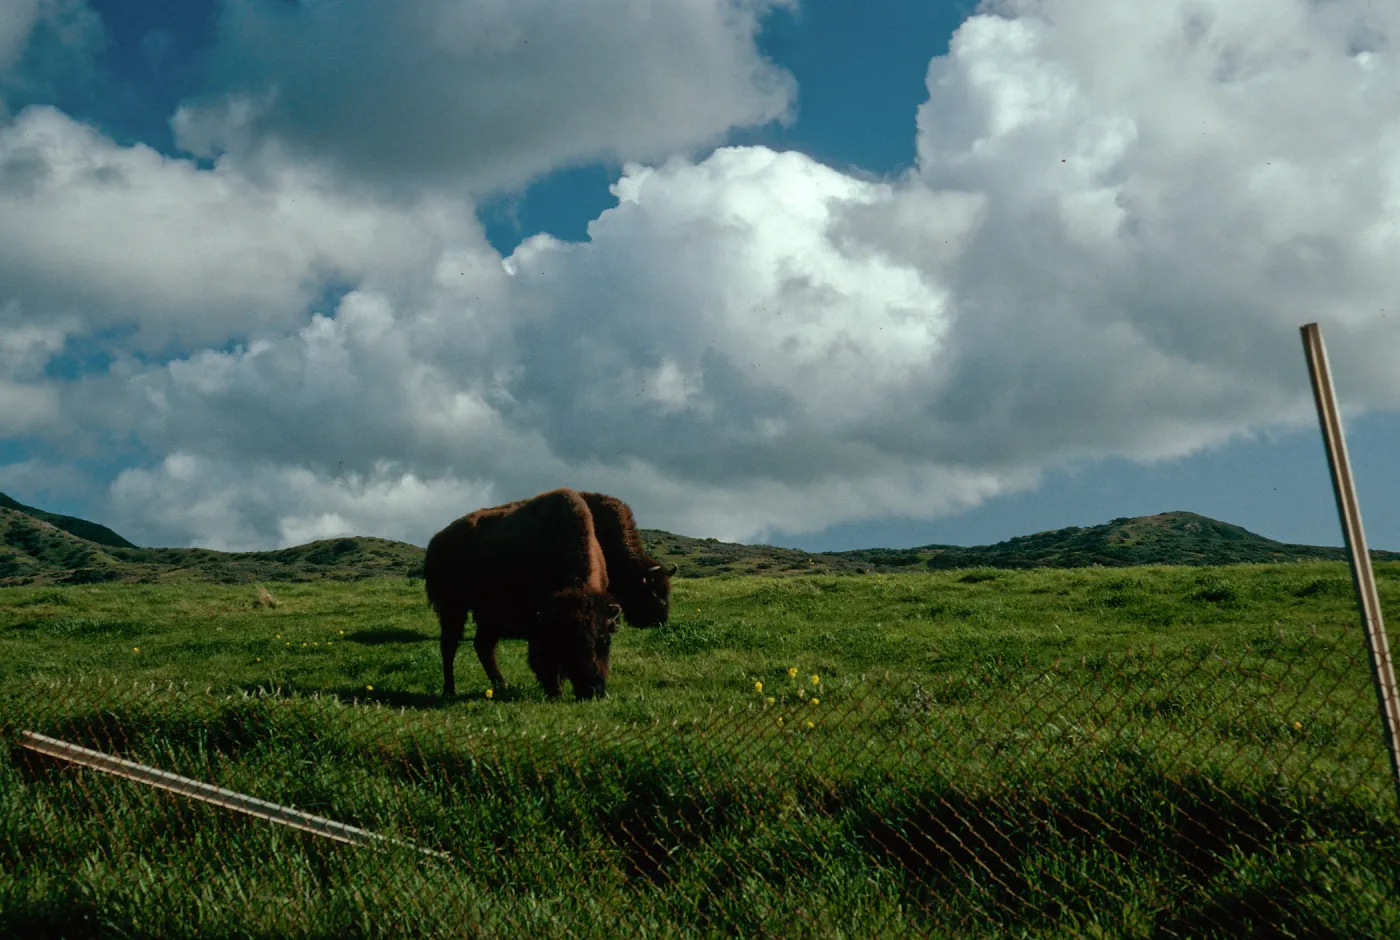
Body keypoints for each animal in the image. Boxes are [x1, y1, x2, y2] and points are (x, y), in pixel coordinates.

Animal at [425, 488, 621, 699]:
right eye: (570, 641)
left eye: (606, 640)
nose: (593, 690)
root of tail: (437, 540)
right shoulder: (540, 627)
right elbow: (546, 661)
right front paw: (555, 691)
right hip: (453, 609)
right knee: (449, 645)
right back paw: (449, 690)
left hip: (489, 617)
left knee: (482, 646)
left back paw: (503, 685)